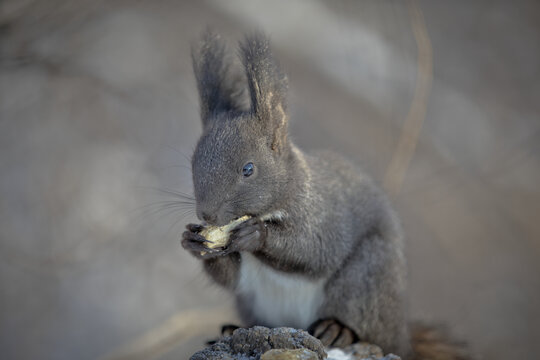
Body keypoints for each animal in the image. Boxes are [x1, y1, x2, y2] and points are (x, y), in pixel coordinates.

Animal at [181, 30, 468, 360]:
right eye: (193, 162)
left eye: (248, 169)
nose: (207, 215)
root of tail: (402, 336)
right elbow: (230, 278)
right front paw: (192, 241)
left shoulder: (325, 214)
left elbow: (316, 250)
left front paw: (257, 235)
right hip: (252, 303)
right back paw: (230, 329)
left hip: (368, 275)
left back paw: (338, 330)